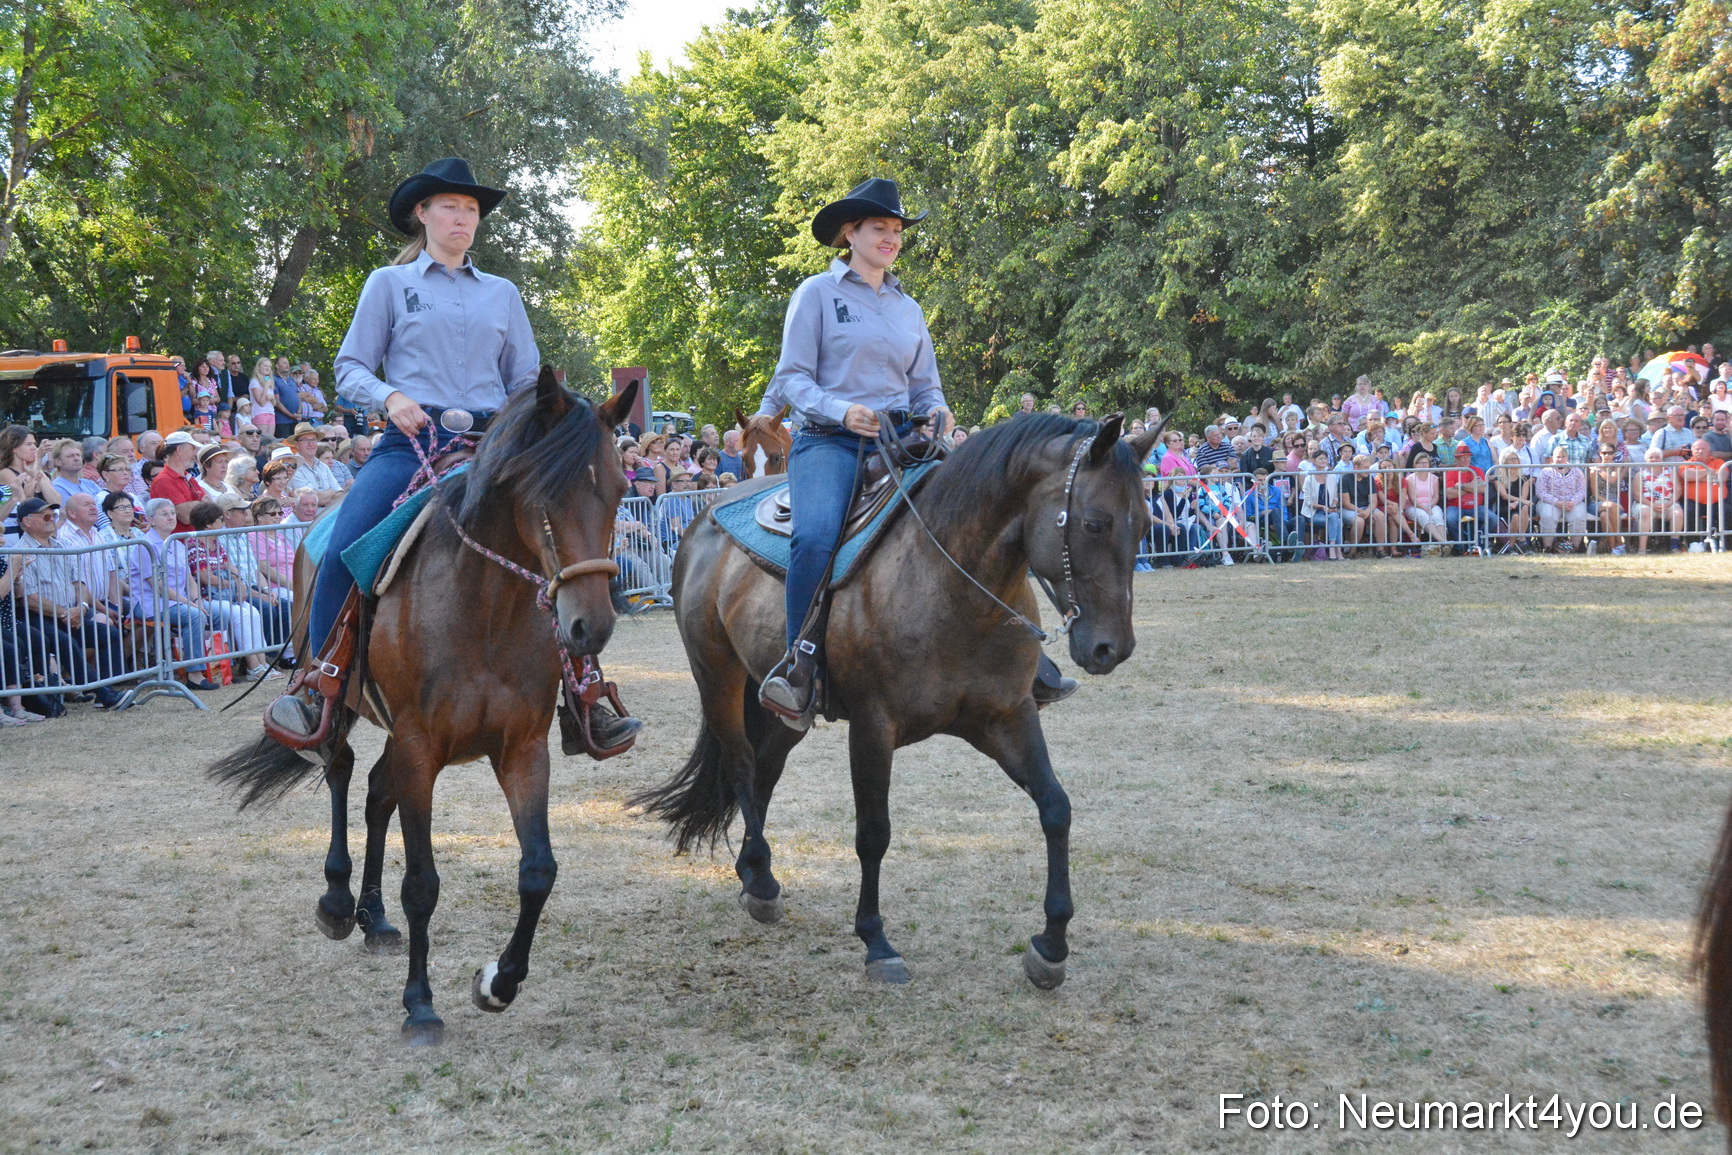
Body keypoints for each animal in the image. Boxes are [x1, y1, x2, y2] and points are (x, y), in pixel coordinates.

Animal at [211, 368, 636, 1045]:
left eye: (620, 490)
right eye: (545, 492)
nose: (589, 627)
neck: (483, 608)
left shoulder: (521, 748)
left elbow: (538, 871)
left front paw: (498, 984)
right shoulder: (420, 747)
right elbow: (423, 883)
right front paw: (420, 1004)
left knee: (376, 793)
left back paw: (374, 917)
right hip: (341, 706)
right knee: (341, 770)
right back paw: (338, 902)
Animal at [633, 413, 1162, 987]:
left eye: (1145, 526)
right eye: (1094, 524)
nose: (1111, 649)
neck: (950, 583)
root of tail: (704, 519)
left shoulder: (1007, 718)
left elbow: (1056, 808)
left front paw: (1051, 944)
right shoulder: (872, 727)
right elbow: (873, 833)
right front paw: (876, 940)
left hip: (783, 709)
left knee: (766, 768)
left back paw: (756, 873)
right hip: (717, 674)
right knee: (742, 764)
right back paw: (764, 884)